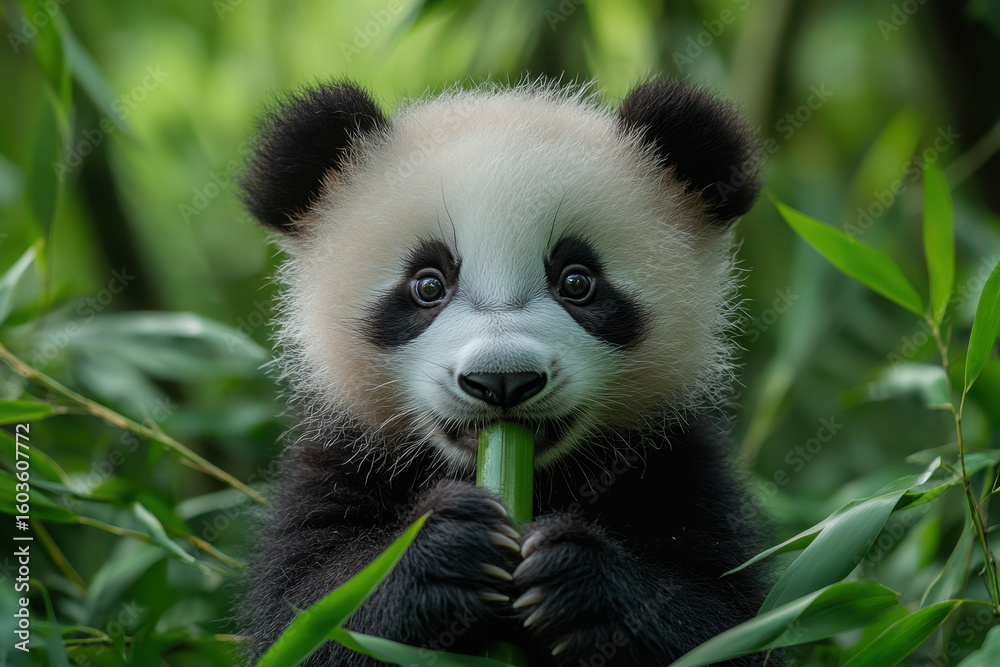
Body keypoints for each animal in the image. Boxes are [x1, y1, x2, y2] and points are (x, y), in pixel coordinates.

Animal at [237, 78, 769, 667]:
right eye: (428, 284)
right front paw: (446, 551)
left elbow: (723, 621)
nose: (503, 381)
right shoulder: (340, 458)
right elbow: (307, 617)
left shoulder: (676, 463)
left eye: (577, 281)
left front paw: (576, 578)